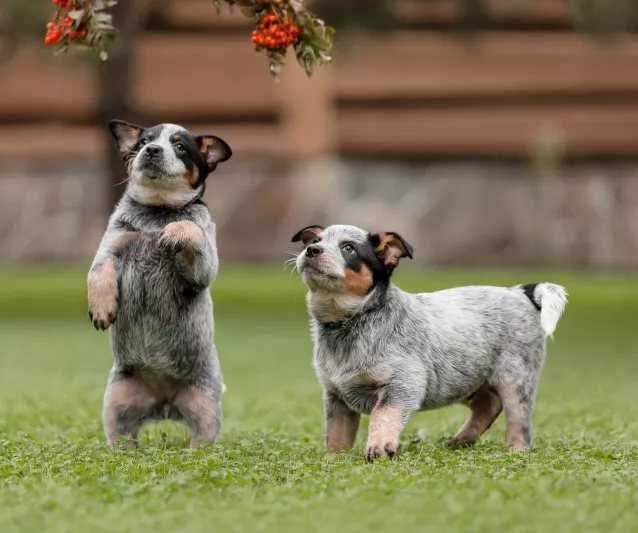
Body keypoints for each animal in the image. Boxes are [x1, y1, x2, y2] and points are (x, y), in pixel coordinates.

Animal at [87, 119, 232, 448]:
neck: (157, 210)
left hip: (205, 407)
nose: (153, 150)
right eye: (143, 142)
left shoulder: (201, 270)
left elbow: (190, 227)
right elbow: (97, 273)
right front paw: (101, 308)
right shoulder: (111, 248)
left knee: (201, 440)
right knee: (122, 438)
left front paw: (176, 230)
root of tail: (164, 403)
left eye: (180, 146)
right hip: (116, 403)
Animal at [292, 222, 568, 460]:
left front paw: (379, 447)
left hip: (515, 380)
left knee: (519, 422)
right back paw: (460, 440)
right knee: (488, 404)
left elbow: (382, 413)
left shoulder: (403, 384)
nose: (312, 250)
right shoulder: (336, 395)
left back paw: (515, 450)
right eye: (315, 241)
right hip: (461, 378)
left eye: (348, 248)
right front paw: (333, 457)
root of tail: (521, 292)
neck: (348, 323)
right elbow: (336, 435)